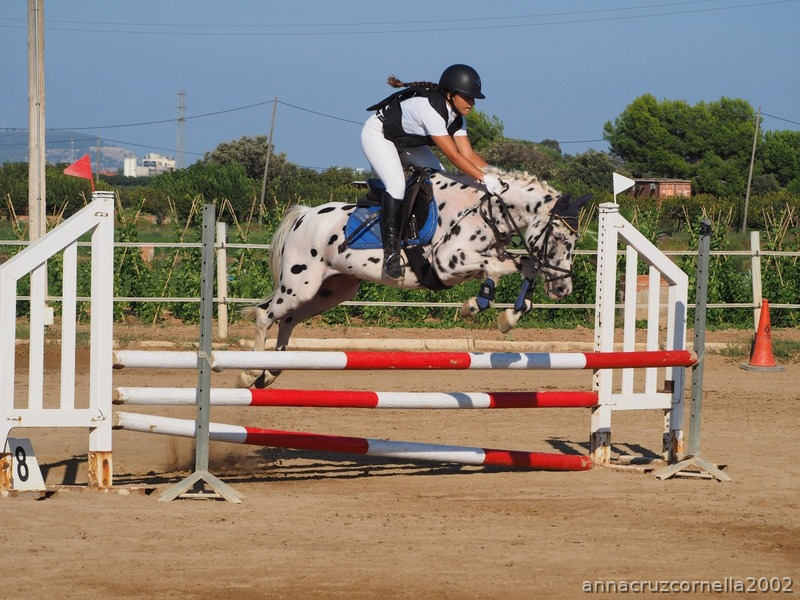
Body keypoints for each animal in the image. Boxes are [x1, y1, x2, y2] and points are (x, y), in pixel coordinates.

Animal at [236, 166, 589, 389]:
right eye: (559, 238)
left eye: (575, 240)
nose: (563, 288)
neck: (489, 211)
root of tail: (304, 215)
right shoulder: (447, 263)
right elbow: (497, 269)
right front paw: (475, 305)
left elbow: (522, 267)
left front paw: (507, 317)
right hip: (300, 285)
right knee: (265, 315)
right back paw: (249, 372)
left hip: (330, 292)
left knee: (287, 320)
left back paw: (271, 372)